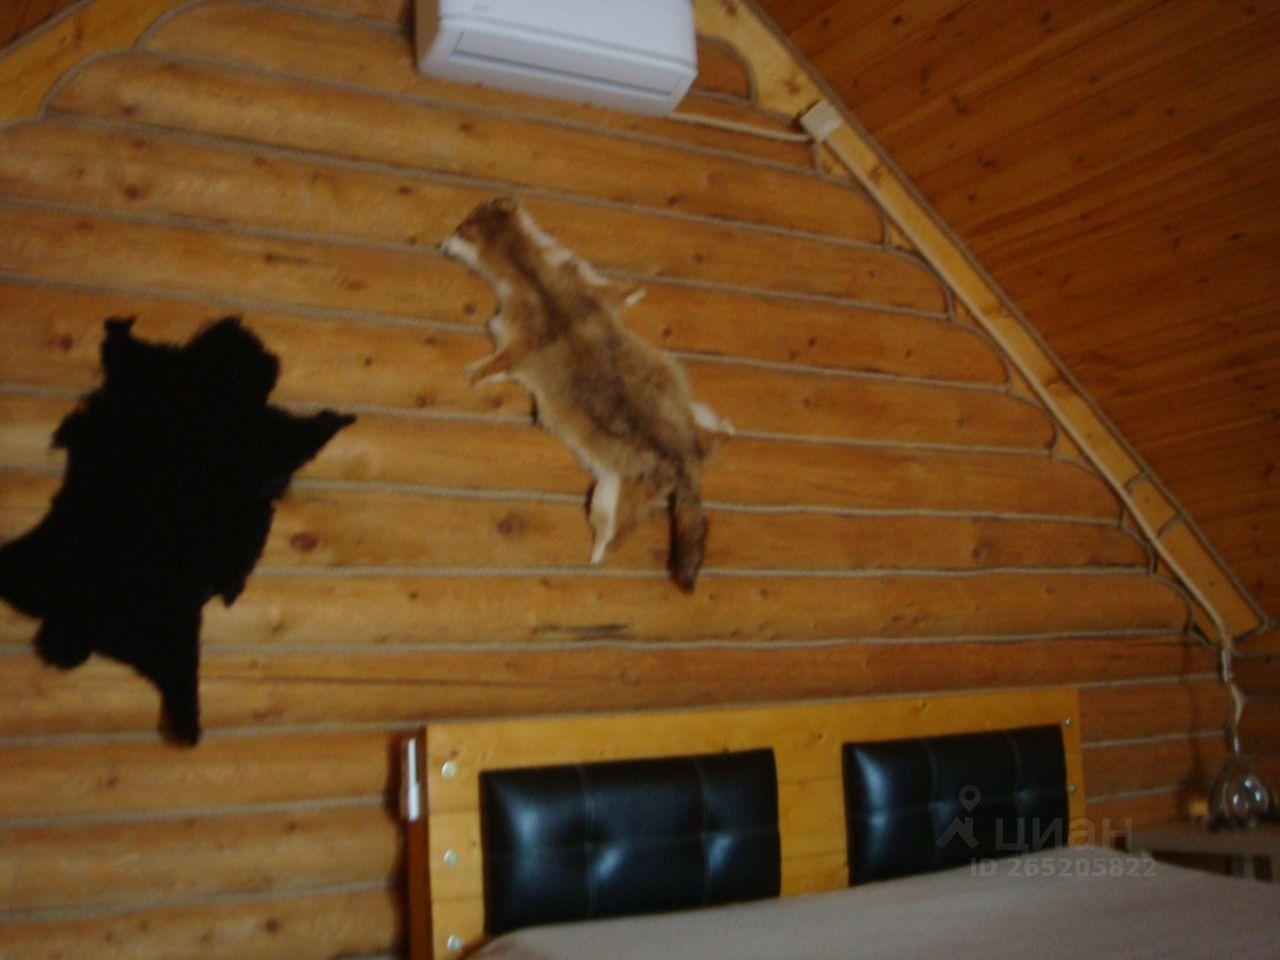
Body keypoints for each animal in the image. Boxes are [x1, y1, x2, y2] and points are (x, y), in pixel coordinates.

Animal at [441, 197, 732, 591]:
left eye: (459, 227)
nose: (441, 243)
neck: (530, 272)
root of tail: (682, 461)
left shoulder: (518, 343)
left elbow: (499, 362)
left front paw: (475, 372)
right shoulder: (593, 291)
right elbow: (617, 294)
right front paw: (634, 291)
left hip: (608, 496)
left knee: (613, 533)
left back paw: (598, 550)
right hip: (689, 404)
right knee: (712, 430)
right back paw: (724, 429)